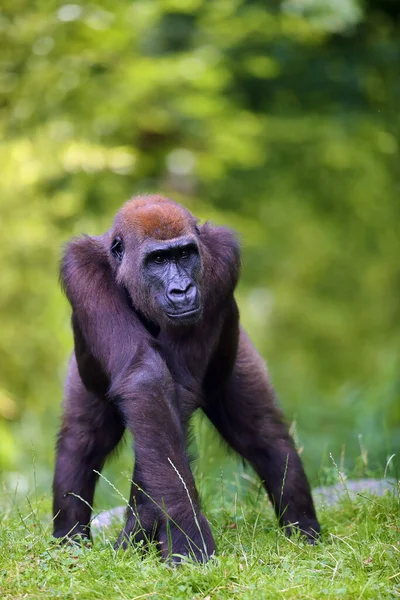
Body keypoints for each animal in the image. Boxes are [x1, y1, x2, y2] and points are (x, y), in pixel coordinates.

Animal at [53, 195, 320, 560]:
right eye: (158, 259)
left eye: (184, 254)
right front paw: (179, 527)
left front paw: (161, 526)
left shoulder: (221, 260)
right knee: (81, 439)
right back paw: (68, 539)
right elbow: (147, 379)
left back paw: (303, 529)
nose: (182, 290)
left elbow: (173, 394)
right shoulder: (81, 269)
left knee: (264, 434)